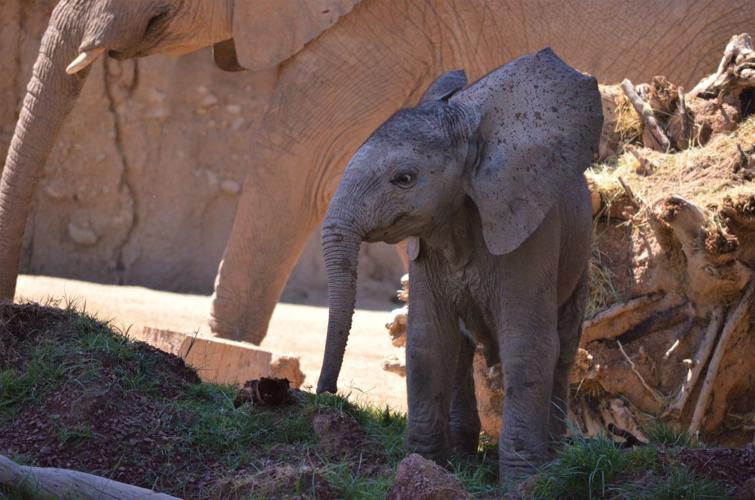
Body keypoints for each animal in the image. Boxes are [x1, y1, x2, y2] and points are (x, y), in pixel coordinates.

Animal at [315, 49, 603, 478]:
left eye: (404, 178)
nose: (328, 396)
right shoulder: (425, 246)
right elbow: (428, 342)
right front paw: (422, 466)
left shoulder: (531, 232)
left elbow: (528, 345)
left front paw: (523, 482)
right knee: (461, 352)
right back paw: (464, 459)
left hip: (580, 256)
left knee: (564, 347)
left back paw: (553, 460)